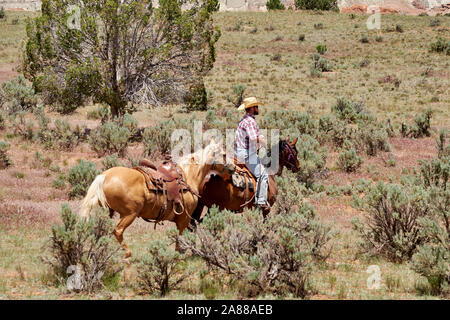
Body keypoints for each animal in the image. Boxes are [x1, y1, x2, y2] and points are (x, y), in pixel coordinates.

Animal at [79, 141, 225, 256]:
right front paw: (179, 254)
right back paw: (127, 253)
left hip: (106, 209)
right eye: (223, 154)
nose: (231, 167)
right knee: (118, 231)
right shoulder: (184, 218)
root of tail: (105, 175)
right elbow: (180, 237)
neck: (188, 176)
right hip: (129, 214)